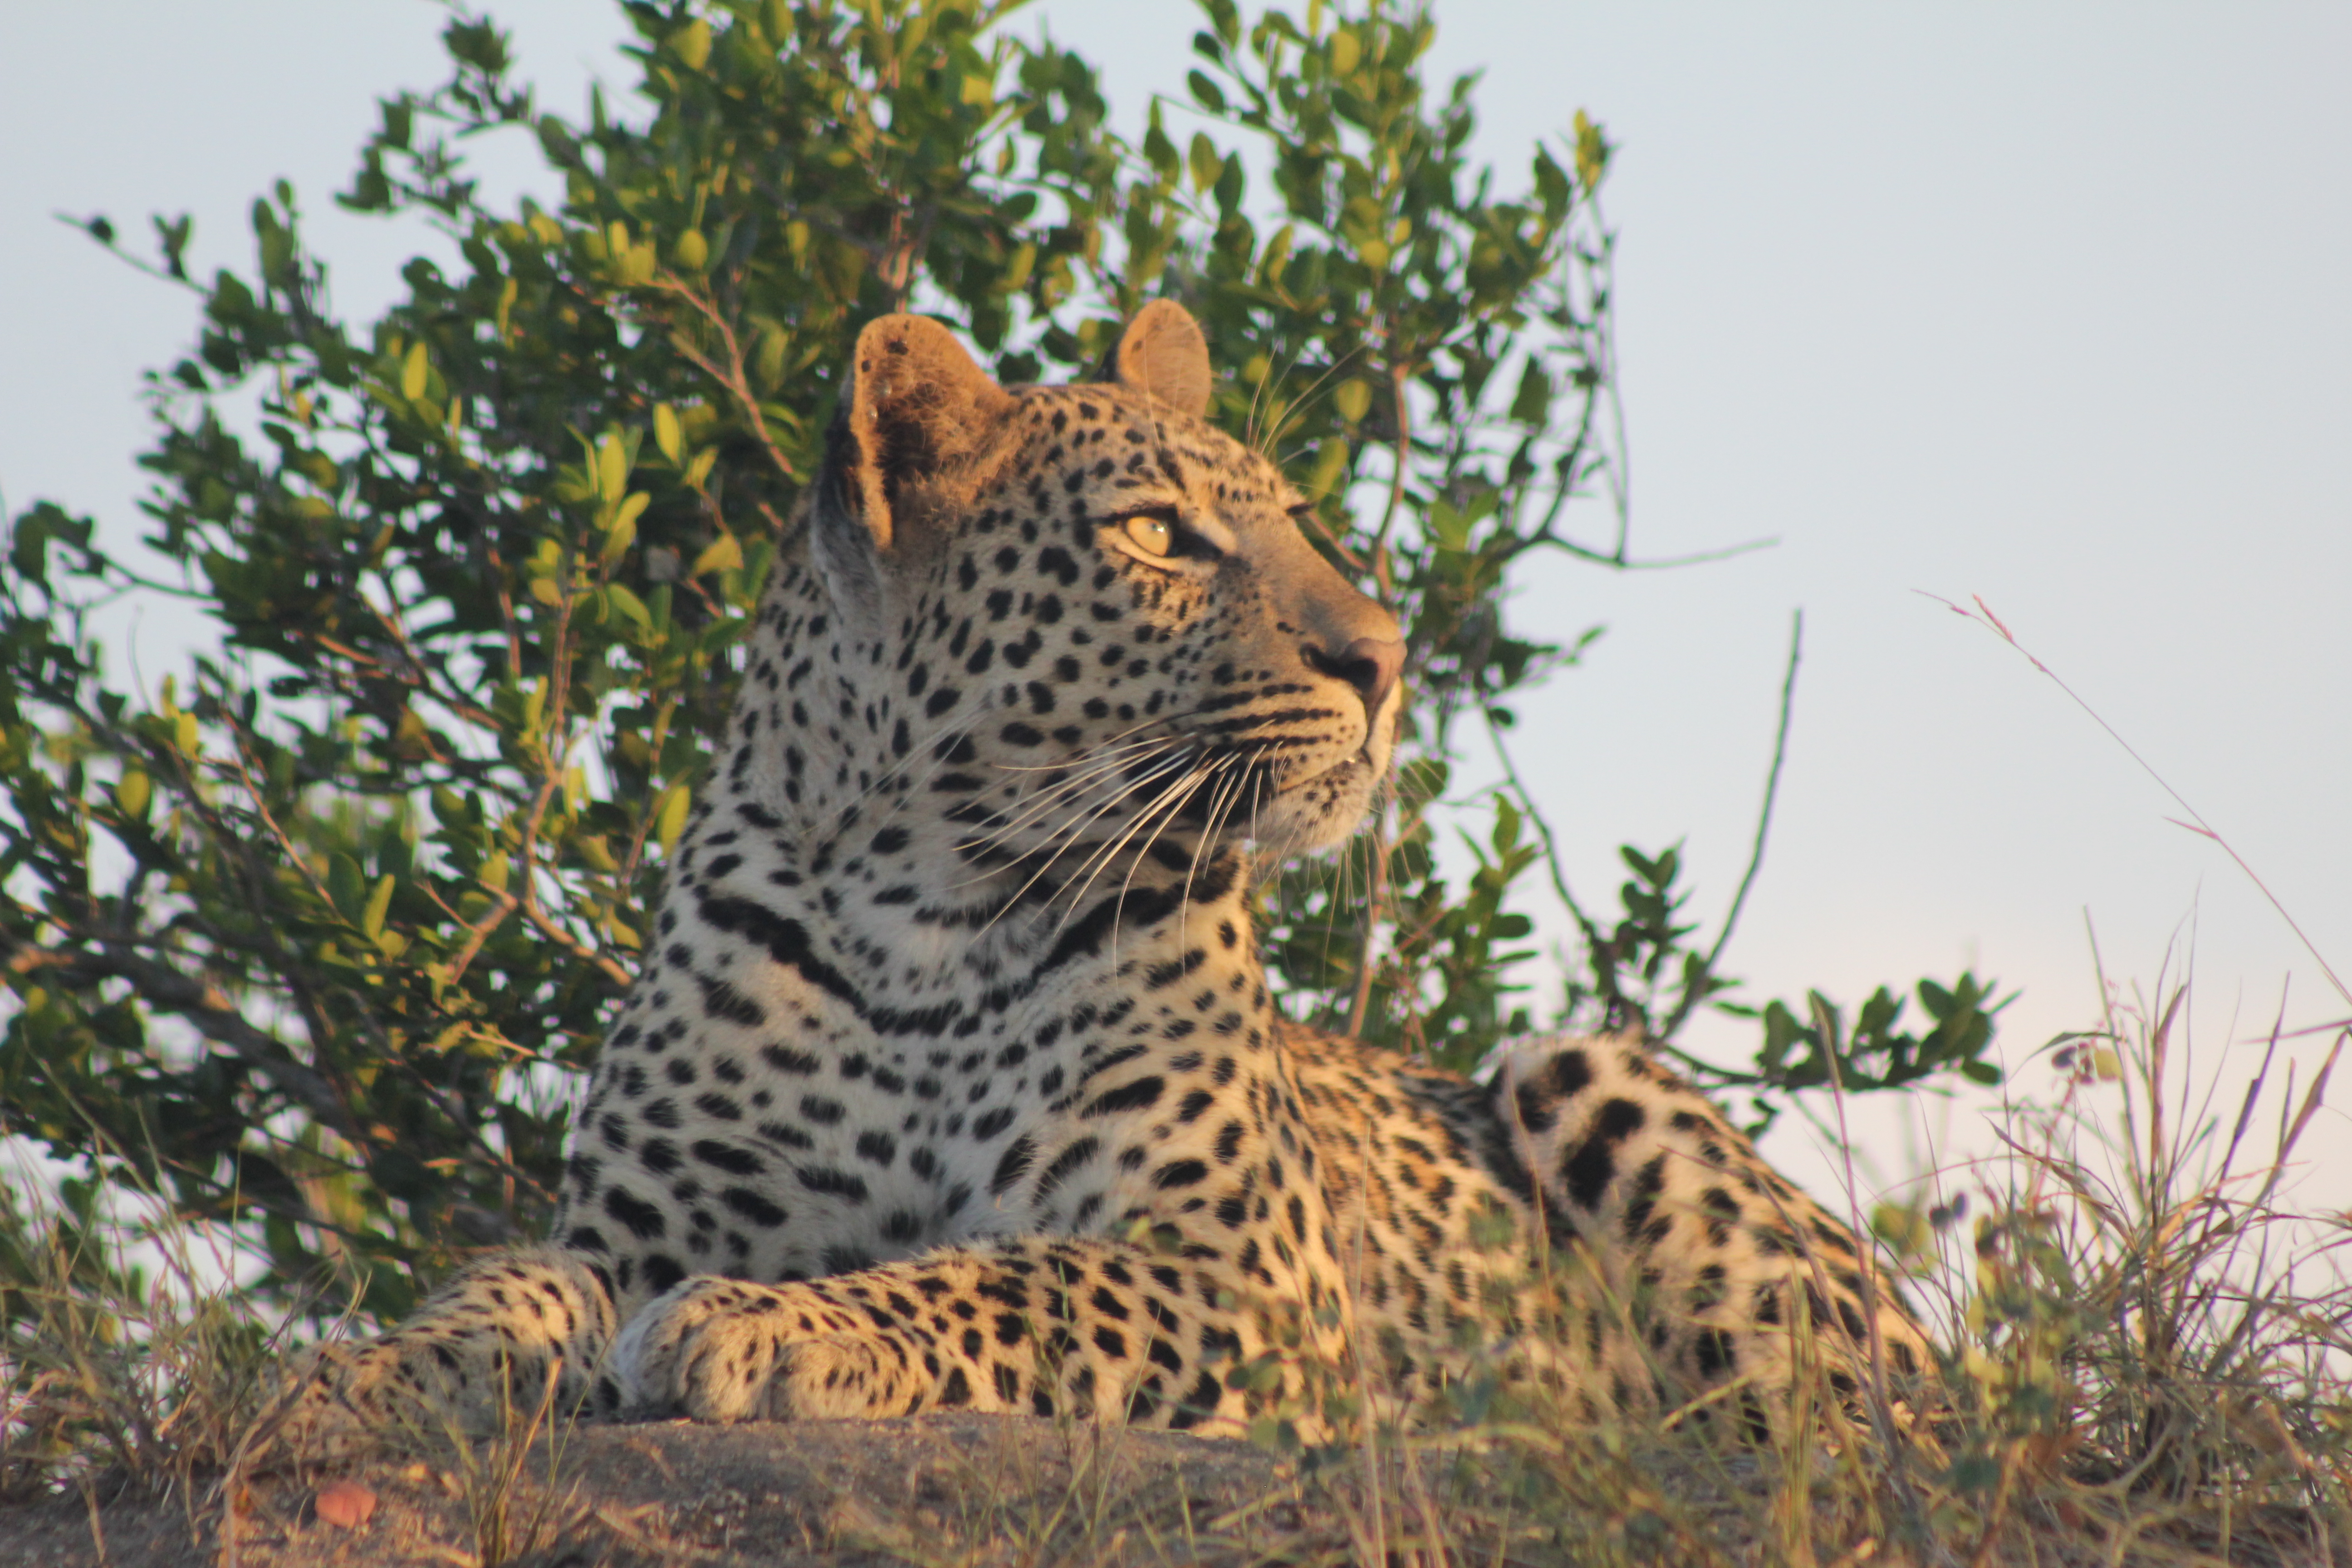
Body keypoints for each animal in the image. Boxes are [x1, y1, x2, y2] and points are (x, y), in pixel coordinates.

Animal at [275, 300, 1933, 1456]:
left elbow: (1003, 1277)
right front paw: (367, 1371)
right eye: (1155, 534)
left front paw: (770, 1324)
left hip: (1584, 1077)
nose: (1385, 660)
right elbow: (513, 1281)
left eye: (1291, 518)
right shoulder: (636, 1228)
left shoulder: (1238, 1269)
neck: (923, 913)